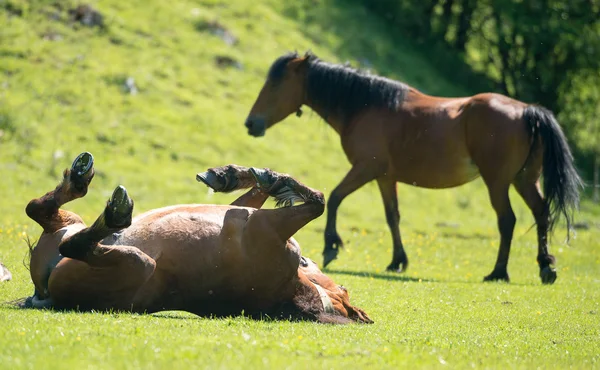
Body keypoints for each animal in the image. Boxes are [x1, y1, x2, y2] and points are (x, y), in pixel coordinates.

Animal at [23, 152, 372, 324]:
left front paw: (265, 177)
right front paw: (227, 175)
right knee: (38, 209)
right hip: (70, 223)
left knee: (73, 242)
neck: (292, 288)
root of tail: (44, 294)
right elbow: (259, 192)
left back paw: (116, 214)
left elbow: (319, 201)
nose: (308, 262)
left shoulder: (268, 225)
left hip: (139, 263)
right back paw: (80, 177)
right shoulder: (243, 212)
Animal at [243, 50, 580, 284]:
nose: (250, 123)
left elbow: (336, 197)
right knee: (541, 213)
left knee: (507, 220)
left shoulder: (366, 169)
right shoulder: (385, 178)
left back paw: (498, 271)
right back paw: (545, 266)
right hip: (525, 180)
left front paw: (331, 246)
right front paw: (397, 260)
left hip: (497, 182)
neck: (367, 106)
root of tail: (527, 111)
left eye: (275, 84)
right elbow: (392, 216)